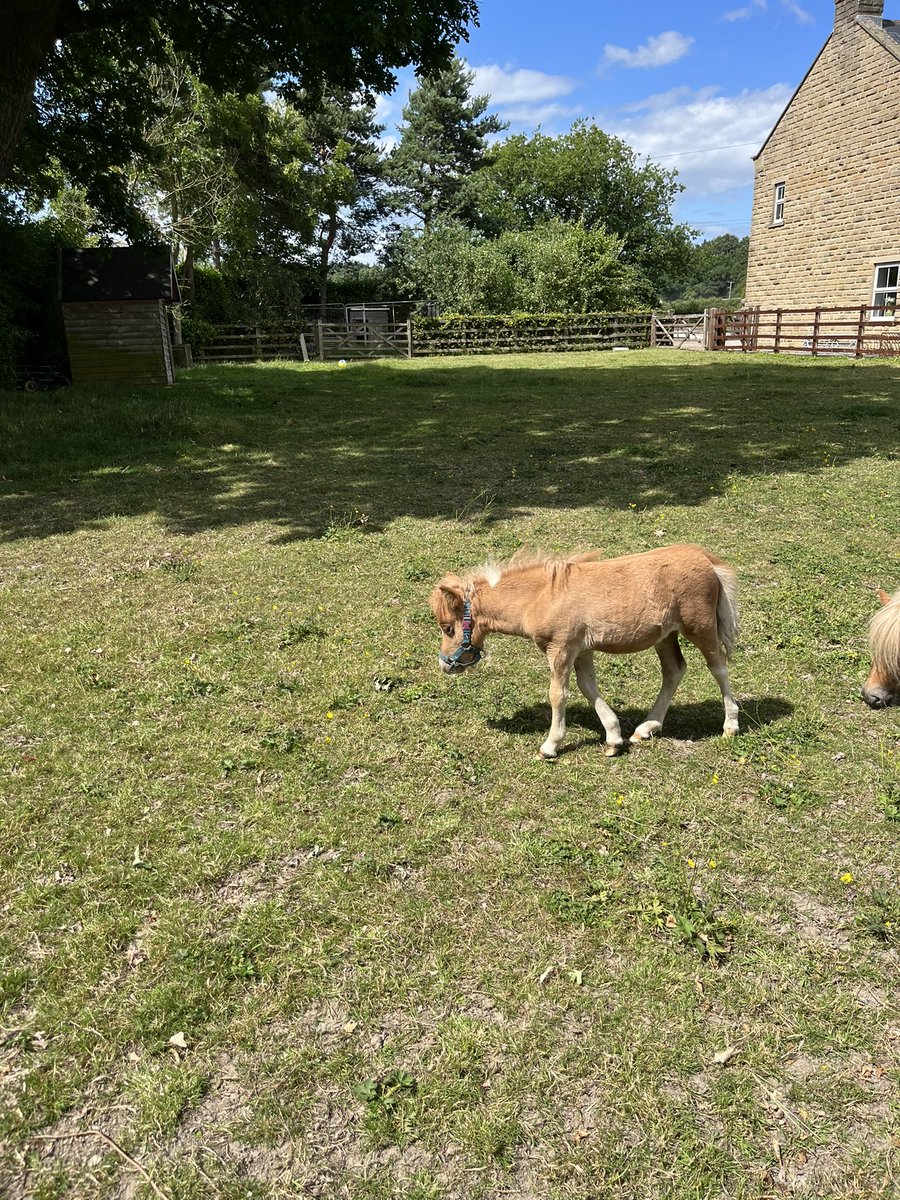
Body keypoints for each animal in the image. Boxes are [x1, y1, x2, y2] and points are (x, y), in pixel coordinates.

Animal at [430, 544, 740, 759]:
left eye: (447, 628)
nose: (445, 664)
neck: (540, 597)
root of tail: (706, 559)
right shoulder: (582, 651)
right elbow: (588, 688)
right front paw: (614, 739)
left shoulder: (561, 648)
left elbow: (558, 695)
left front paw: (550, 745)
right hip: (665, 636)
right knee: (674, 670)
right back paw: (646, 728)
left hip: (699, 627)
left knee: (719, 667)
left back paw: (730, 725)